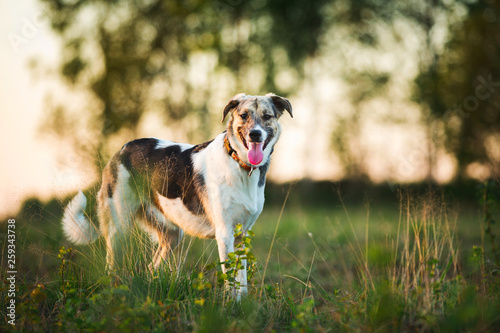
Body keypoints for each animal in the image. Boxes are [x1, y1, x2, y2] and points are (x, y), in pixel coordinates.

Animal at [61, 92, 292, 294]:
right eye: (244, 115)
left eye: (267, 116)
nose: (255, 134)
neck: (240, 164)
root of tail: (122, 149)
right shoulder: (225, 233)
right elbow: (231, 282)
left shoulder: (241, 236)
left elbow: (241, 282)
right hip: (120, 228)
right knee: (111, 267)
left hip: (171, 234)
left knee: (152, 268)